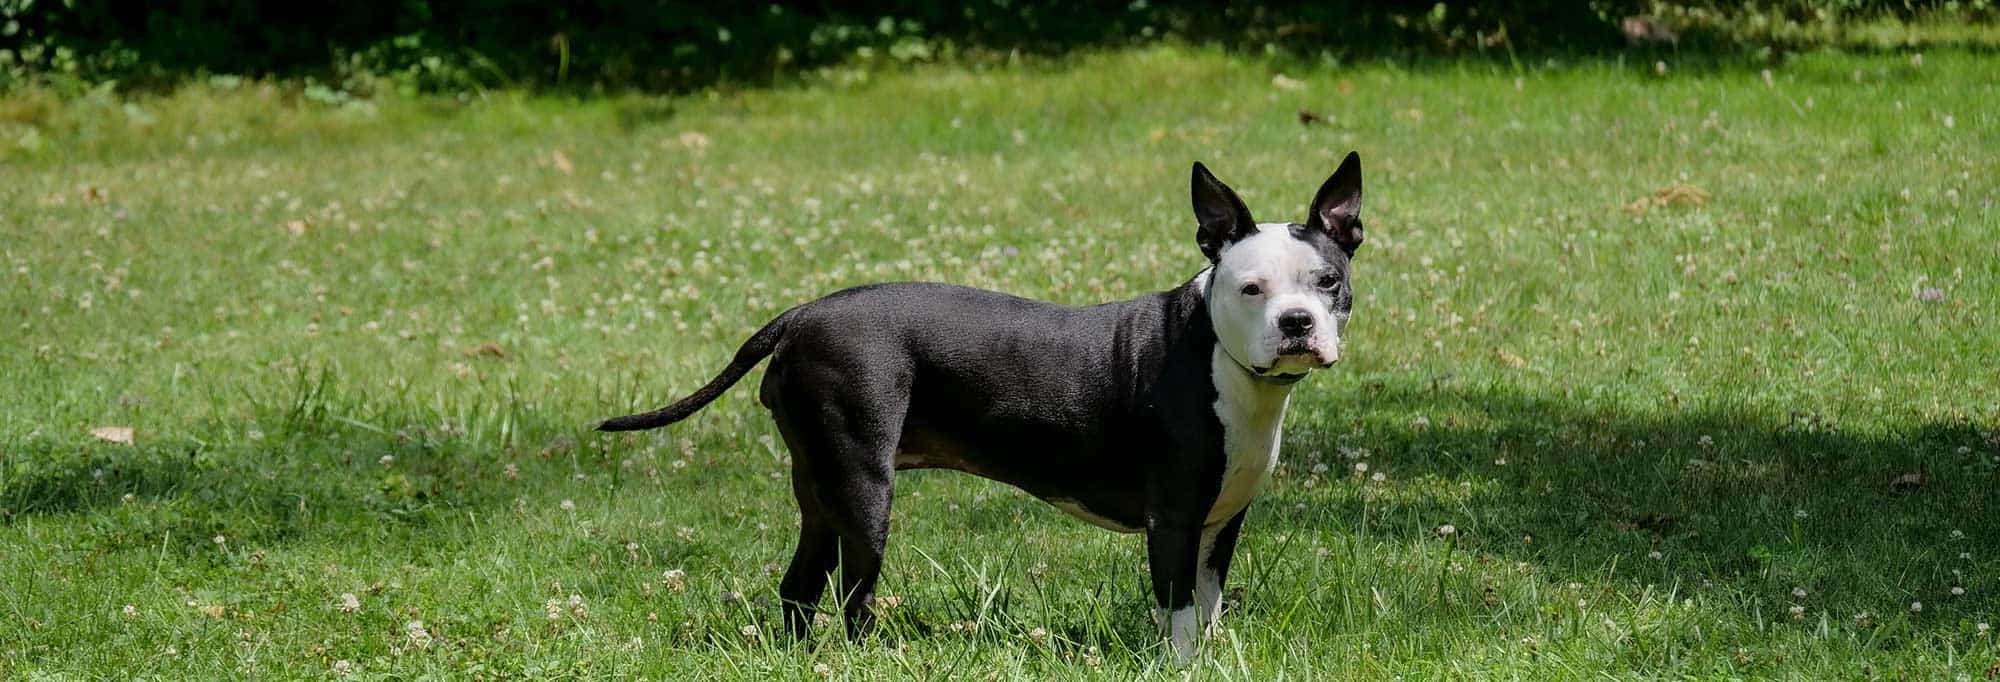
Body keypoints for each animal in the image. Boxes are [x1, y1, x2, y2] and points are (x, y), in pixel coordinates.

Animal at [600, 151, 1368, 656]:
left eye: (1327, 282)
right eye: (1250, 288)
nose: (1297, 323)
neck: (1218, 355)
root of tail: (799, 316)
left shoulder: (1219, 526)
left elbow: (1205, 611)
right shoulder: (1173, 523)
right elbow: (1178, 618)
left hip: (820, 493)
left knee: (800, 587)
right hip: (864, 491)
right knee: (854, 597)